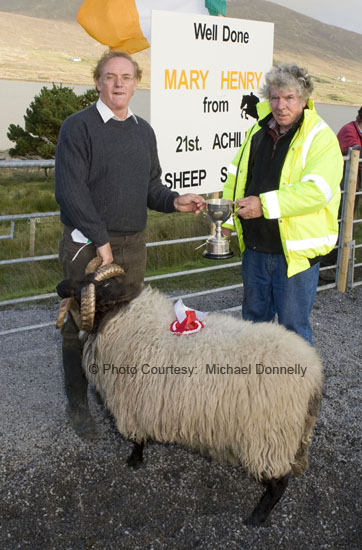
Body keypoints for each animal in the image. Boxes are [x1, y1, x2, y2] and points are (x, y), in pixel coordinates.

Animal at [57, 266, 326, 528]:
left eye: (90, 288)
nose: (61, 285)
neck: (126, 321)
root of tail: (312, 372)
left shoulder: (132, 403)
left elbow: (136, 439)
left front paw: (134, 460)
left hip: (271, 436)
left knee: (278, 484)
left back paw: (256, 518)